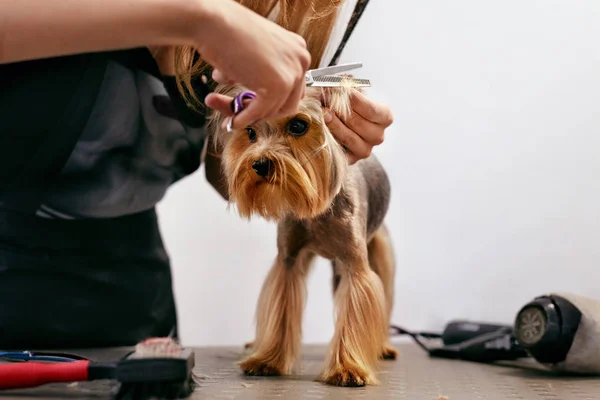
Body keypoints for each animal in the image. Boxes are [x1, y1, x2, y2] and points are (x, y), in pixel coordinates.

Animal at [206, 82, 398, 388]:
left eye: (298, 125)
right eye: (250, 132)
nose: (259, 164)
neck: (317, 205)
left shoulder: (355, 263)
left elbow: (356, 309)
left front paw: (349, 368)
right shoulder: (289, 259)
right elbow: (280, 307)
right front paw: (267, 360)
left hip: (379, 248)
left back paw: (383, 347)